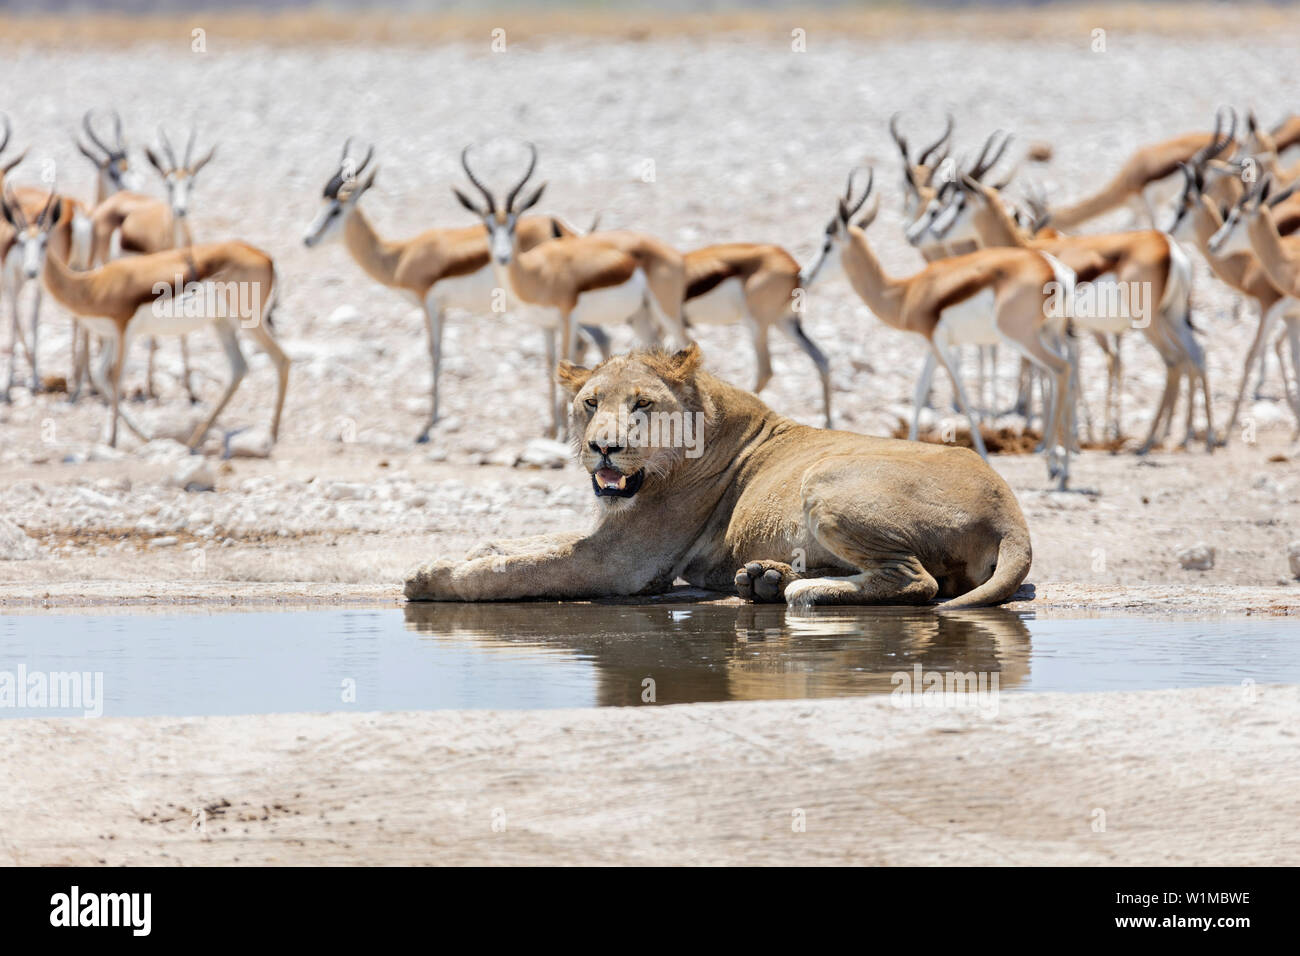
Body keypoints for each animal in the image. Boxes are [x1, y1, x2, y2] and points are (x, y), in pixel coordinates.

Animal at [1, 185, 287, 447]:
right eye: (20, 240)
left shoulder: (124, 330)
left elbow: (115, 376)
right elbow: (101, 376)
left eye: (43, 242)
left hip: (247, 321)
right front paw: (140, 434)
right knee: (239, 368)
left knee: (281, 359)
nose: (30, 271)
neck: (91, 286)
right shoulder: (111, 336)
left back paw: (272, 434)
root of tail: (265, 256)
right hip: (222, 323)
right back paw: (197, 439)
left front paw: (114, 439)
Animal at [457, 141, 696, 437]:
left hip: (666, 309)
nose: (502, 257)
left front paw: (562, 432)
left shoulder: (568, 317)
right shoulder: (546, 324)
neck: (538, 272)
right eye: (487, 226)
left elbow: (567, 358)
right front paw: (551, 429)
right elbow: (551, 366)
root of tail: (674, 253)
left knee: (685, 340)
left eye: (514, 225)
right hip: (640, 315)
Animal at [800, 167, 1076, 489]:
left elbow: (963, 397)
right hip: (1050, 333)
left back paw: (1056, 470)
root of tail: (1053, 269)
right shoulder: (931, 346)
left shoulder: (940, 342)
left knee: (1060, 369)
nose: (804, 275)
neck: (905, 293)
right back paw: (1062, 468)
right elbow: (919, 392)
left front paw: (986, 457)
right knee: (1066, 373)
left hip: (1020, 336)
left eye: (827, 245)